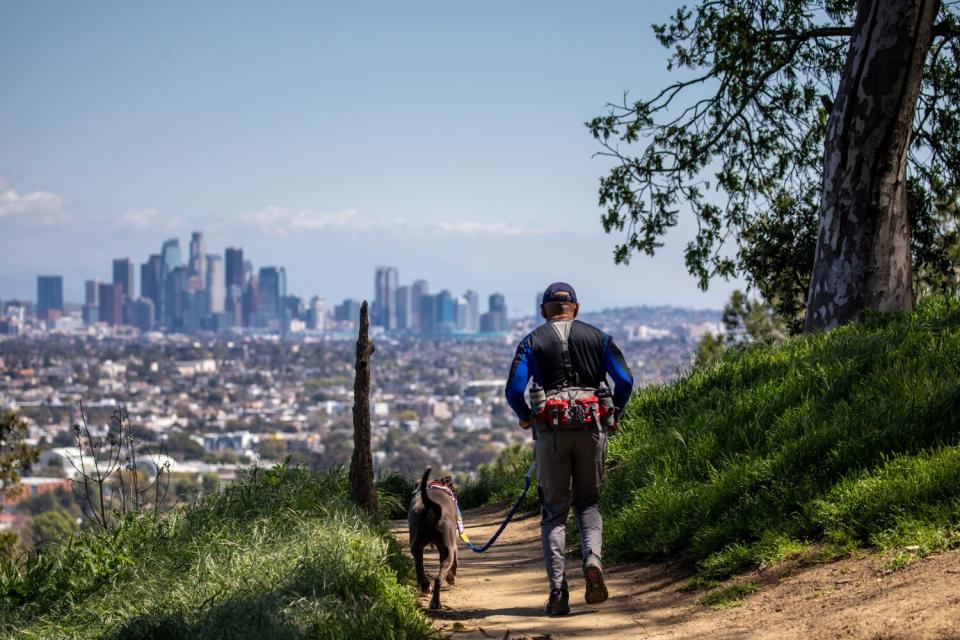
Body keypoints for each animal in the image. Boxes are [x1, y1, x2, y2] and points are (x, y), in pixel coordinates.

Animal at [406, 464, 460, 608]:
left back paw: (426, 589)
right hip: (447, 550)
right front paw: (452, 578)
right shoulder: (454, 546)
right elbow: (455, 563)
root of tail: (431, 507)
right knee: (438, 578)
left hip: (417, 545)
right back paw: (436, 601)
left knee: (419, 568)